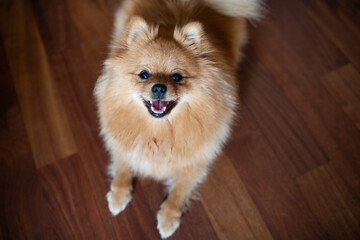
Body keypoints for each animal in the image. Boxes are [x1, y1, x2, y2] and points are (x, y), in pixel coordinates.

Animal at [93, 0, 262, 238]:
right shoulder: (124, 144)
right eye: (144, 74)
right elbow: (123, 167)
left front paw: (168, 218)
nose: (158, 87)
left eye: (176, 77)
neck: (159, 130)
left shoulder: (195, 163)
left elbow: (179, 192)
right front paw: (118, 195)